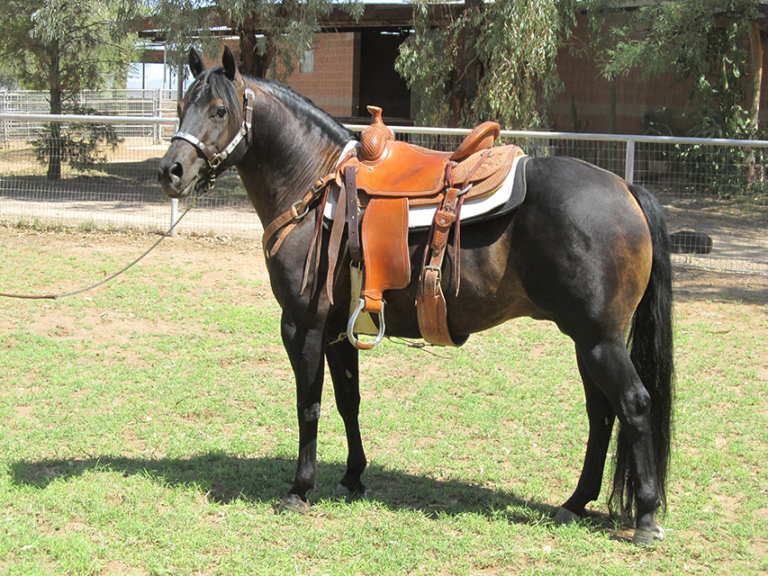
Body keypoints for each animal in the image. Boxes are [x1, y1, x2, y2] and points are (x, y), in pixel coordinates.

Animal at [160, 48, 672, 544]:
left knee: (632, 405)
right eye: (181, 106)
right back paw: (576, 502)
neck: (314, 183)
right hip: (586, 341)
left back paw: (646, 516)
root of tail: (625, 188)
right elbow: (348, 400)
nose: (171, 170)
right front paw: (353, 477)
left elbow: (309, 406)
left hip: (600, 340)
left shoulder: (302, 325)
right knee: (601, 414)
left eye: (219, 109)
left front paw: (300, 489)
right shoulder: (339, 331)